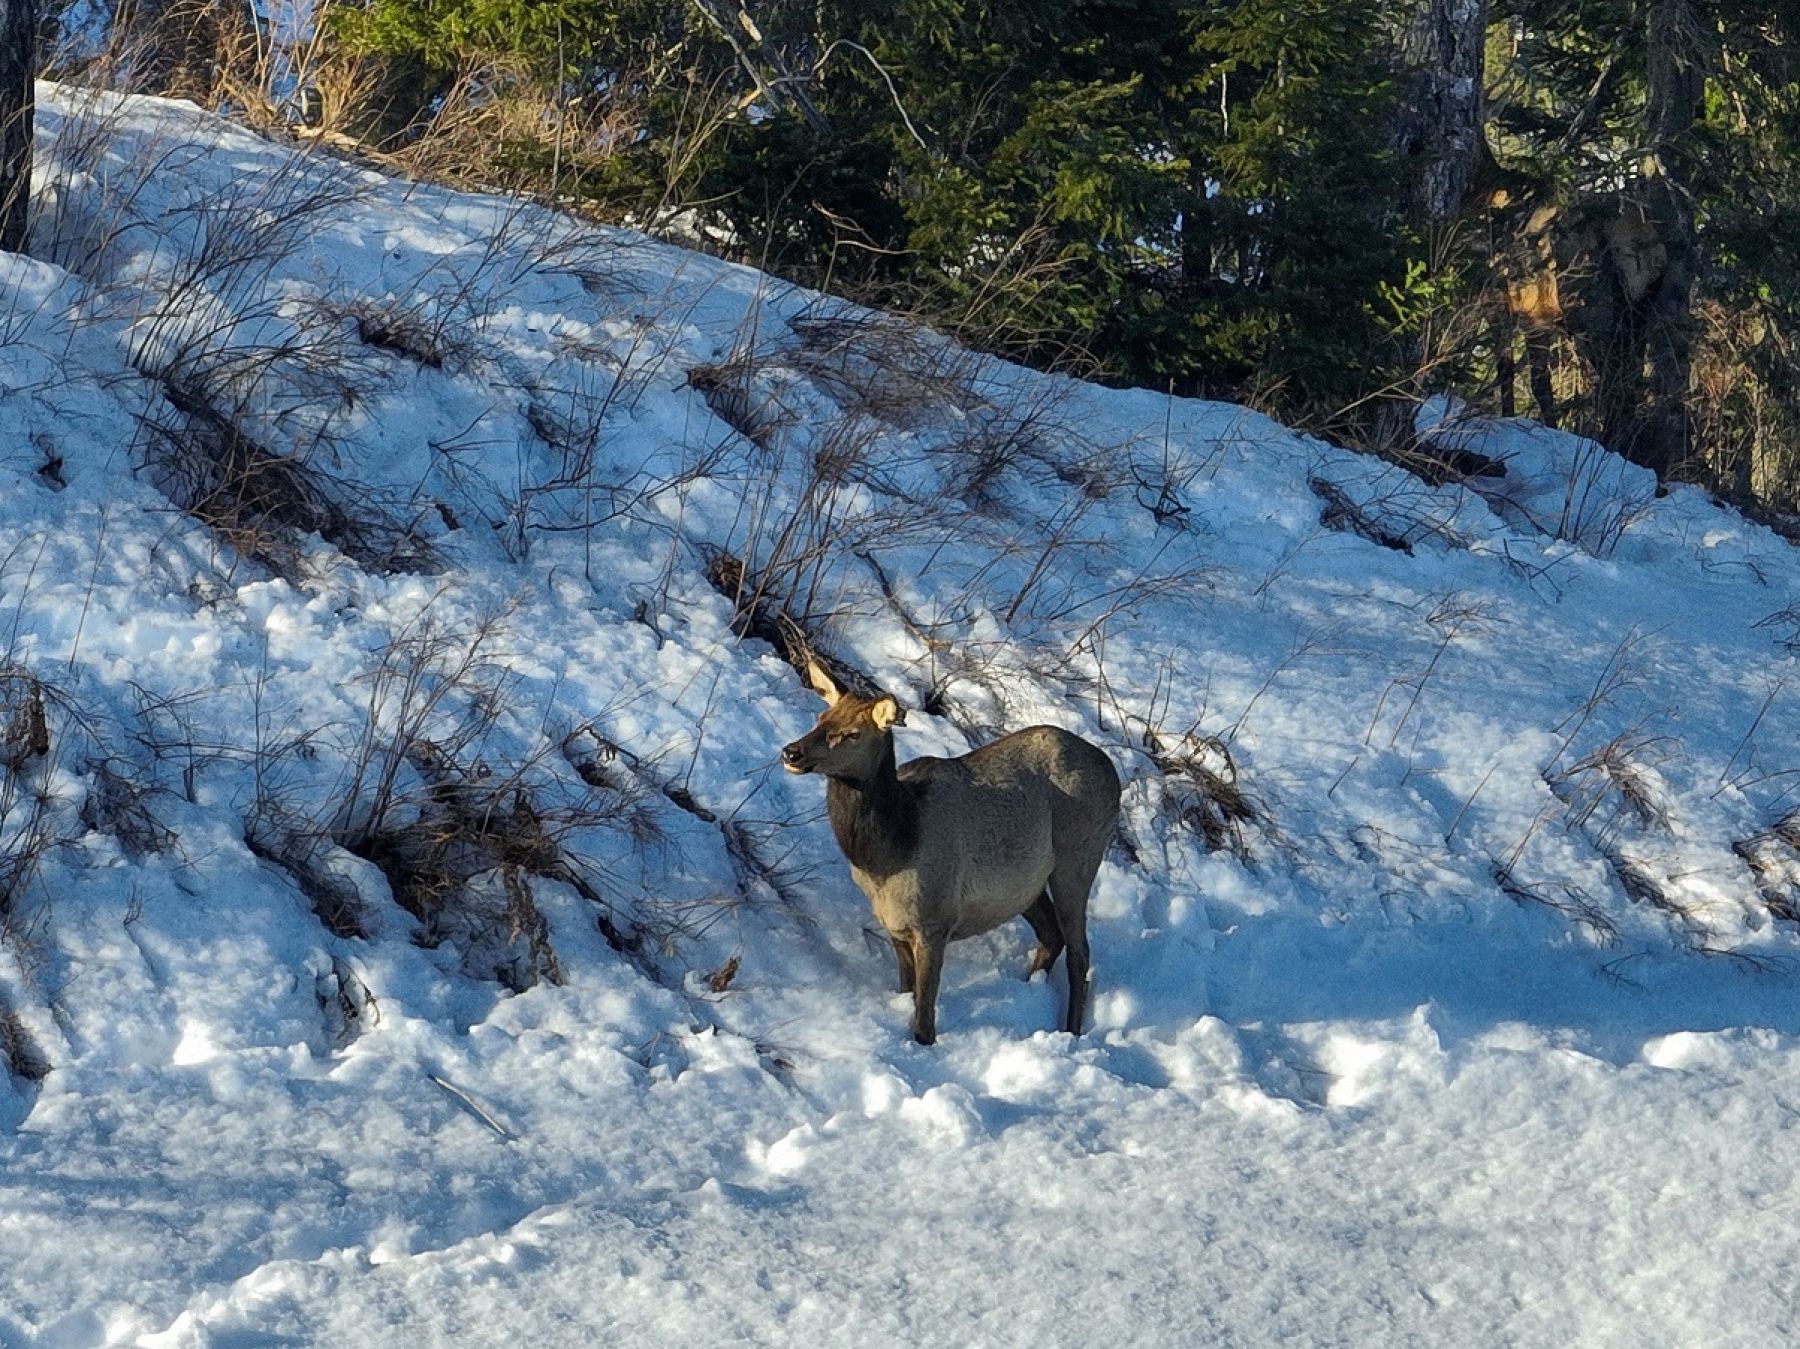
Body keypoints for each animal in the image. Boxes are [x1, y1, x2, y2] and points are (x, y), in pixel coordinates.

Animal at [781, 662, 1116, 1044]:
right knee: (1051, 935)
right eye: (822, 717)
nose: (791, 752)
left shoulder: (935, 923)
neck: (888, 853)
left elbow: (925, 1012)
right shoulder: (894, 924)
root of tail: (1114, 774)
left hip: (1077, 858)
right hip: (1026, 886)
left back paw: (1071, 1029)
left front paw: (923, 1042)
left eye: (852, 734)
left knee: (1080, 952)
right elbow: (907, 988)